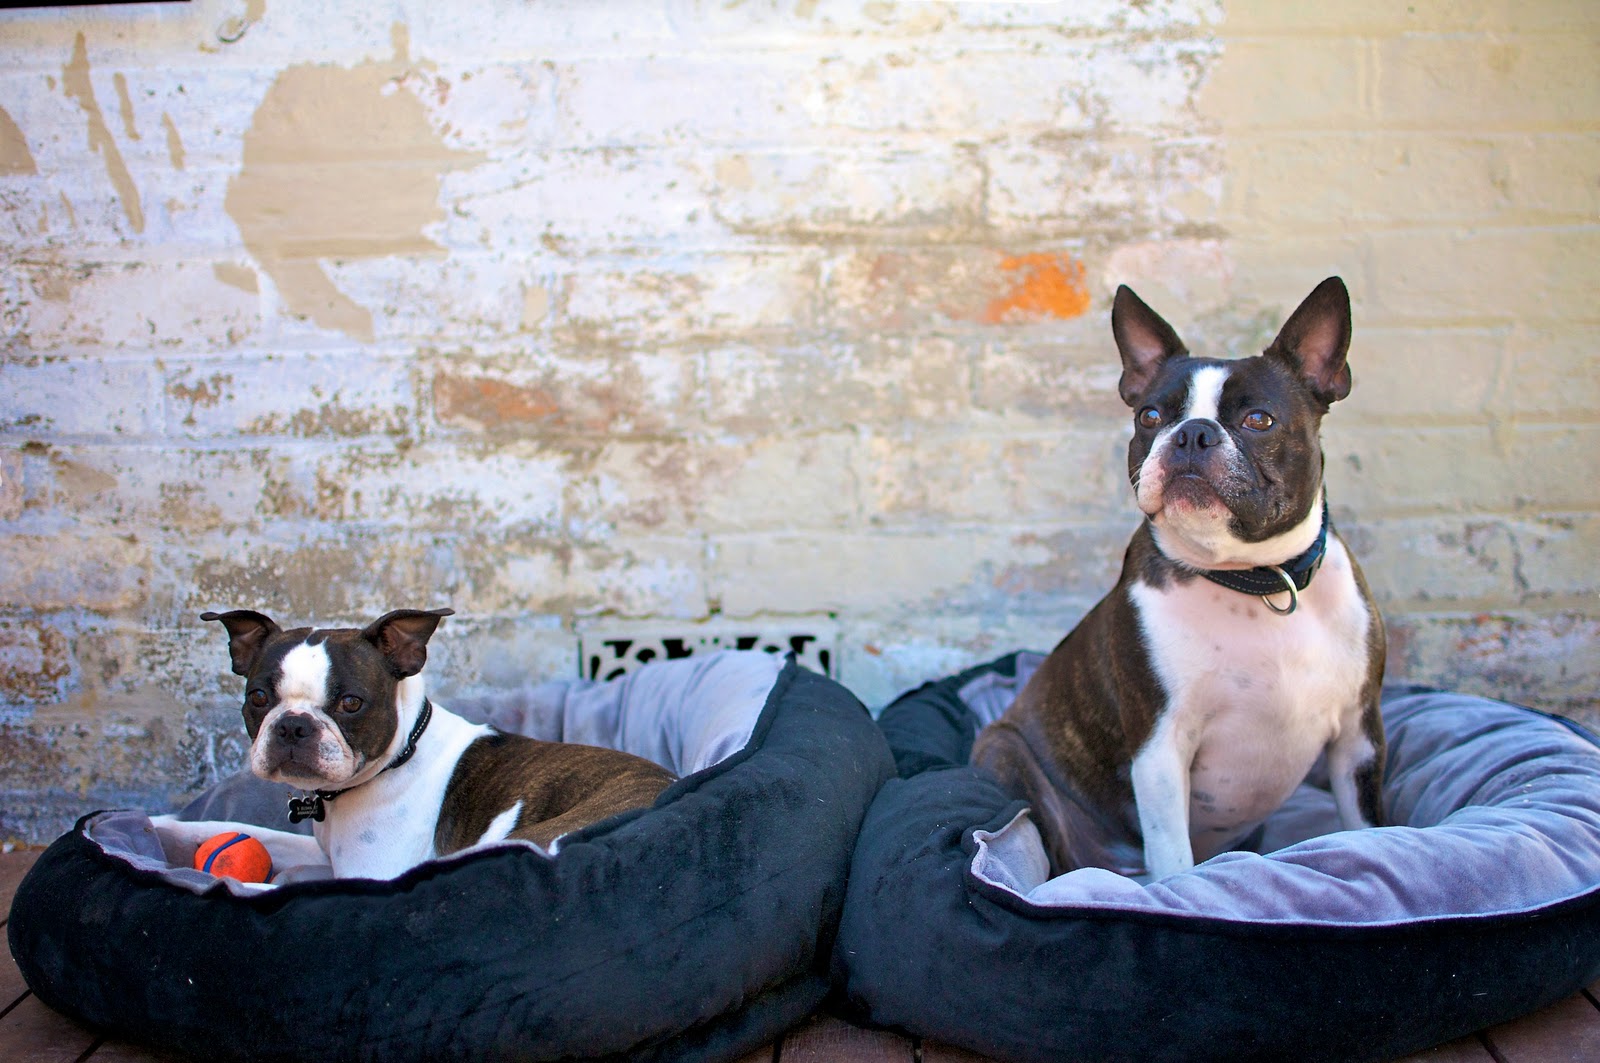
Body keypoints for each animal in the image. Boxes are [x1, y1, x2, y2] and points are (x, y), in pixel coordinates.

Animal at [179, 606, 675, 881]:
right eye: (258, 698)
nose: (294, 726)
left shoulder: (367, 873)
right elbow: (244, 831)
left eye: (351, 703)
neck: (400, 754)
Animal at [971, 277, 1385, 881]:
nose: (1192, 433)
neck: (1254, 581)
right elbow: (1172, 855)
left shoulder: (1359, 738)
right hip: (1004, 753)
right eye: (1149, 416)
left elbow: (1368, 828)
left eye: (1258, 420)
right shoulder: (1160, 750)